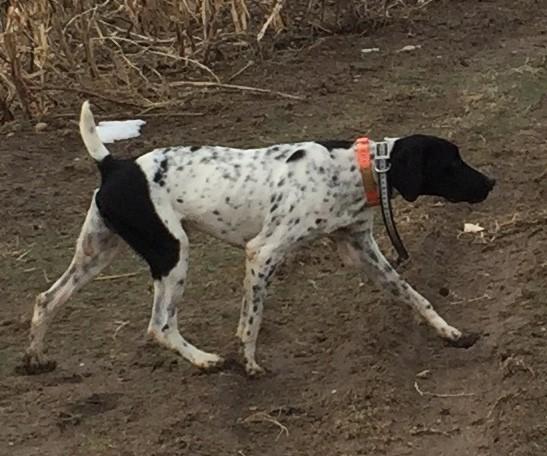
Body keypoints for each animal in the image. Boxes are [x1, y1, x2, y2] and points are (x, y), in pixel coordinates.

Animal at [23, 101, 496, 376]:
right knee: (160, 325)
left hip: (96, 255)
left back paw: (35, 357)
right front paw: (248, 363)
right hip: (173, 254)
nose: (491, 182)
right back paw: (204, 359)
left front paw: (450, 332)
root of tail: (114, 165)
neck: (358, 168)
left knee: (47, 299)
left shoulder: (360, 249)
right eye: (452, 163)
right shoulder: (262, 253)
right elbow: (251, 319)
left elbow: (415, 295)